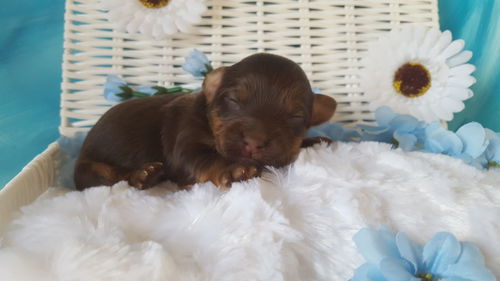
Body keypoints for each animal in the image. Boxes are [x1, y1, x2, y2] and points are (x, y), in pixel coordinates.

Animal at [73, 52, 336, 189]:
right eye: (233, 100)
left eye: (296, 116)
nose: (254, 142)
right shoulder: (185, 141)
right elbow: (206, 158)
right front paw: (235, 170)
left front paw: (315, 141)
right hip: (89, 170)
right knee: (108, 178)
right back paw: (143, 175)